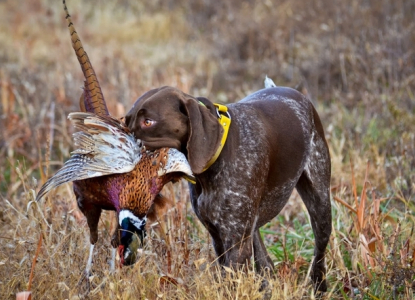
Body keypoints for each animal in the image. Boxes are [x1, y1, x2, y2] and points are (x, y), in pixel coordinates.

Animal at [125, 78, 334, 292]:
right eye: (127, 121)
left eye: (148, 122)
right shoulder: (219, 236)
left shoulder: (235, 241)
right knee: (265, 262)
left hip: (320, 205)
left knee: (319, 253)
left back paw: (319, 287)